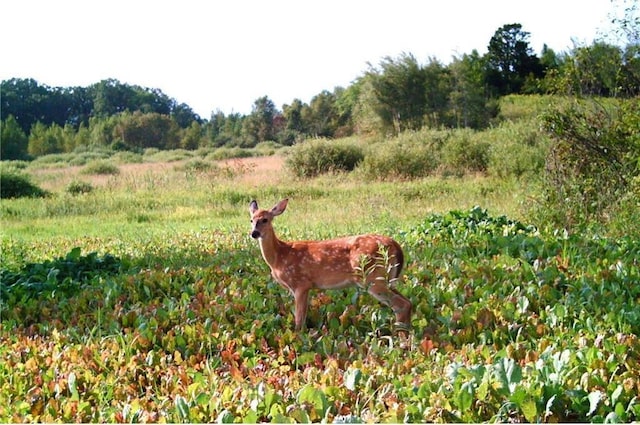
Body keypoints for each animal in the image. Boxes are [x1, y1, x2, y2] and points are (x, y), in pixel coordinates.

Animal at [248, 198, 412, 334]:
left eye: (265, 219)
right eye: (251, 220)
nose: (254, 233)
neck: (279, 257)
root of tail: (396, 246)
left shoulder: (301, 283)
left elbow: (299, 319)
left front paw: (298, 337)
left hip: (372, 277)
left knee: (401, 305)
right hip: (387, 278)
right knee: (408, 302)